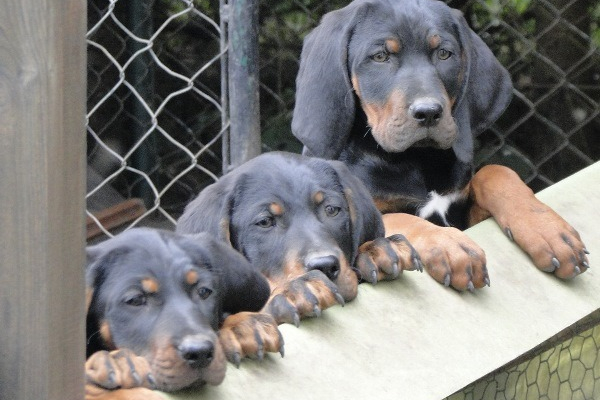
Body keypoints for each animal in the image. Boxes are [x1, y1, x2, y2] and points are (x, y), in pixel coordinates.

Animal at [292, 0, 588, 290]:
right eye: (380, 56)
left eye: (444, 53)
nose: (428, 112)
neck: (416, 159)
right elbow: (397, 218)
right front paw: (447, 243)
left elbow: (495, 172)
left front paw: (546, 227)